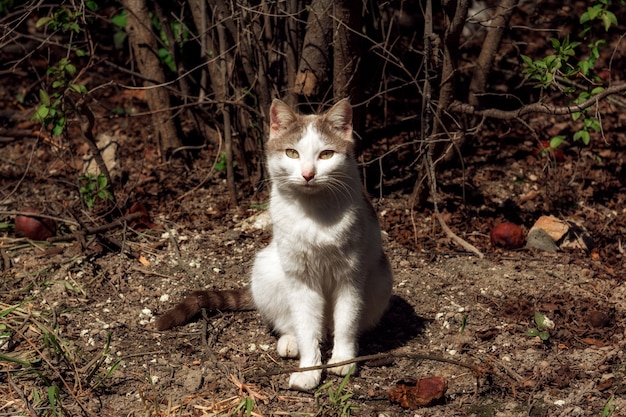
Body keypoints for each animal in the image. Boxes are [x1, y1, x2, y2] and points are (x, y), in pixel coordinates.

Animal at [155, 98, 390, 390]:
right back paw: (291, 342)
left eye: (326, 154)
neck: (313, 214)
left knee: (339, 326)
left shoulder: (351, 277)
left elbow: (346, 322)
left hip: (381, 279)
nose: (308, 174)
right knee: (295, 324)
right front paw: (309, 370)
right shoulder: (300, 279)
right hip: (267, 269)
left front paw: (343, 361)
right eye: (292, 153)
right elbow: (306, 327)